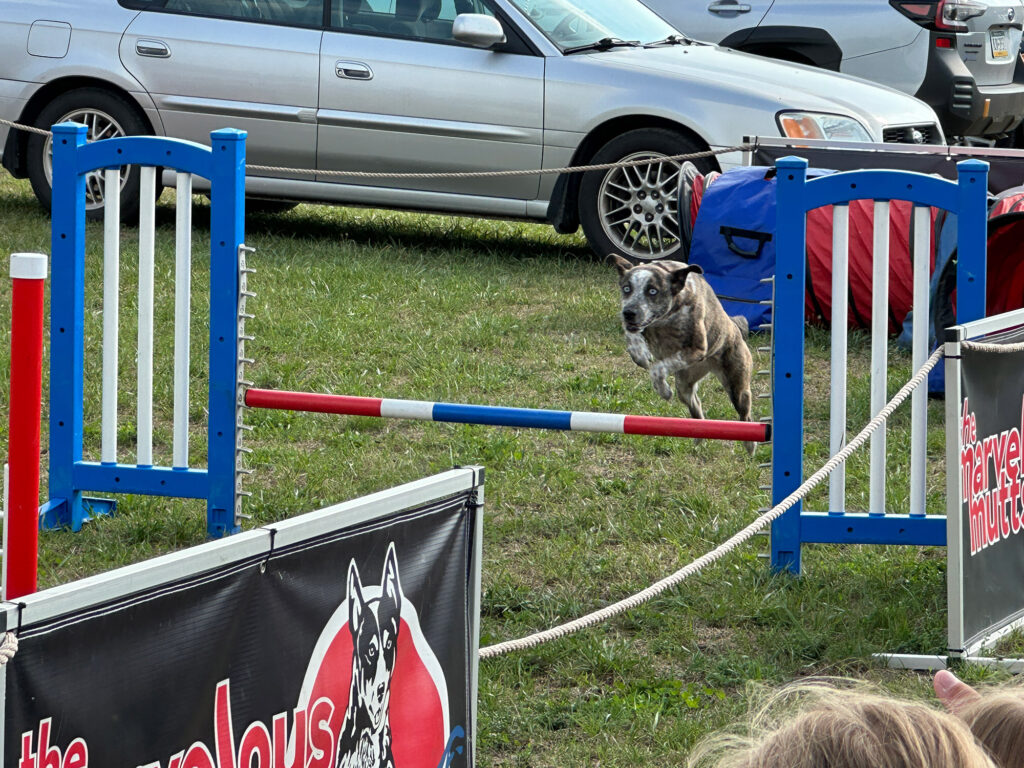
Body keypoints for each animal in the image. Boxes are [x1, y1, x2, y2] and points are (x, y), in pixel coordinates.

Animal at [606, 256, 753, 454]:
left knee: (745, 415)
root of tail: (736, 328)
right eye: (626, 288)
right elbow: (632, 335)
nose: (629, 313)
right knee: (696, 408)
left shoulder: (696, 348)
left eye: (653, 291)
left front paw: (664, 390)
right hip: (684, 385)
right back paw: (698, 436)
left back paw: (750, 446)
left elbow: (658, 368)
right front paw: (640, 354)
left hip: (737, 385)